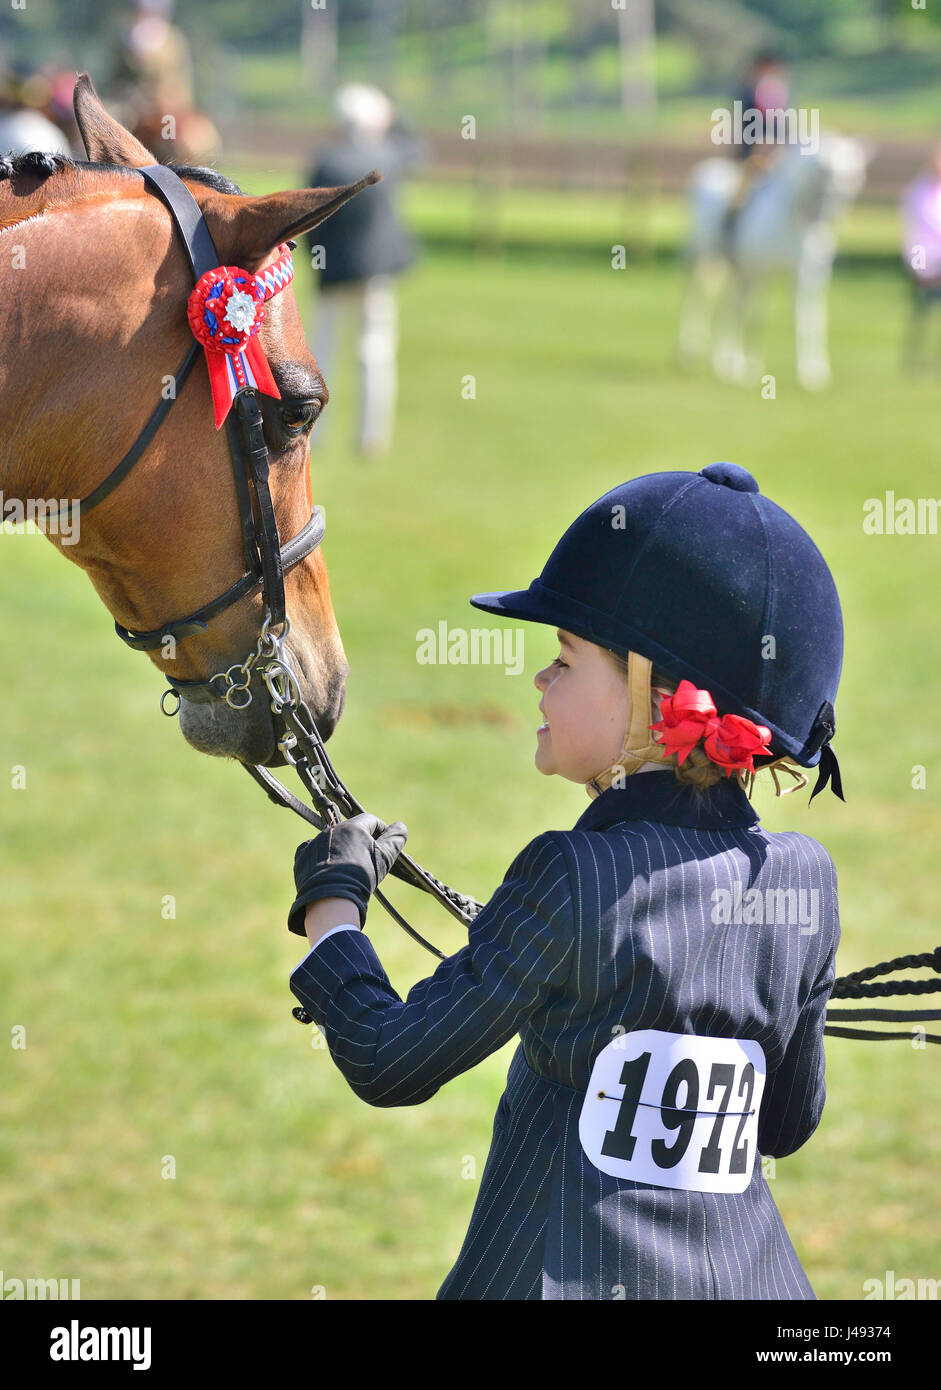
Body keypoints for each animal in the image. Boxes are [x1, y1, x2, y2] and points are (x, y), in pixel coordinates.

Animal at [675, 136, 867, 391]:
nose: (832, 212)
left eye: (854, 173)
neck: (794, 218)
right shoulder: (760, 270)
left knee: (728, 306)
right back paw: (690, 353)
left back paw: (723, 362)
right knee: (697, 299)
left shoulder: (809, 275)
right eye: (826, 171)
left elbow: (810, 318)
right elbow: (759, 316)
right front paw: (752, 367)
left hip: (735, 269)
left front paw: (813, 372)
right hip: (703, 256)